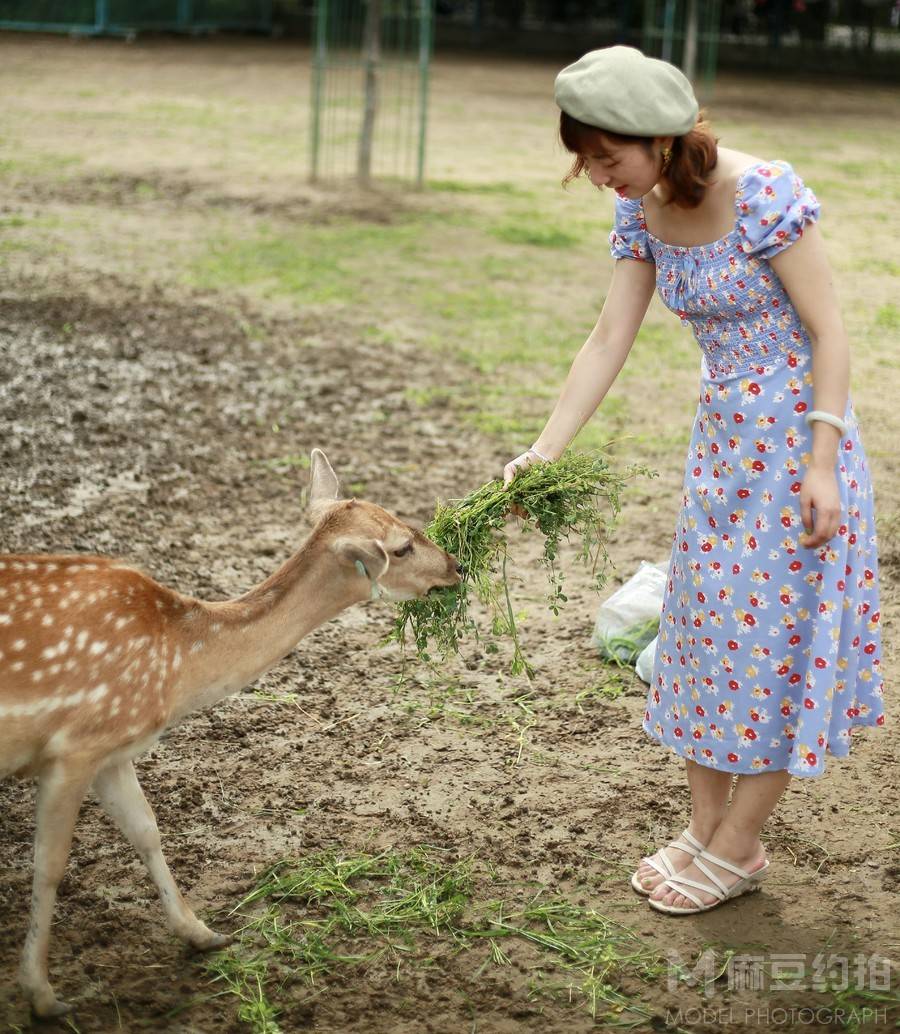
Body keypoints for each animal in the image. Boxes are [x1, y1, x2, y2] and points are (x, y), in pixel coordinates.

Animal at [0, 450, 461, 1017]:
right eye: (401, 546)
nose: (456, 566)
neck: (177, 667)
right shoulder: (74, 745)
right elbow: (48, 864)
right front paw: (43, 994)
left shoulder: (112, 747)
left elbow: (146, 829)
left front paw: (202, 933)